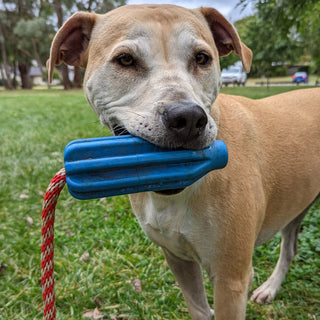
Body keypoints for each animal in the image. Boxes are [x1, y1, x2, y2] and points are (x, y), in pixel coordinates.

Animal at [48, 5, 320, 320]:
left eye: (202, 58)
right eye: (125, 60)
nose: (188, 118)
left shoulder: (231, 279)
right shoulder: (177, 258)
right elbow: (198, 307)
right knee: (290, 247)